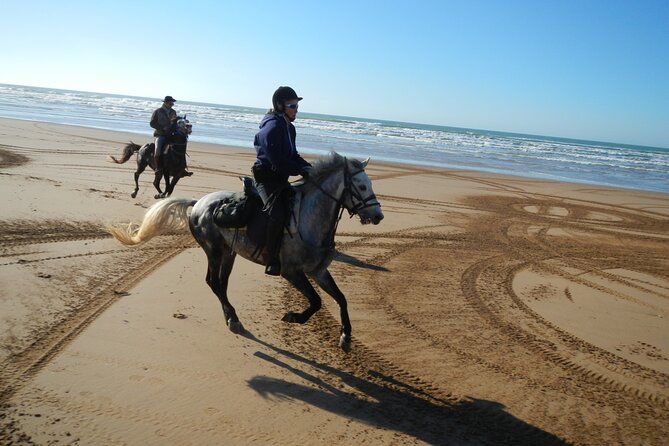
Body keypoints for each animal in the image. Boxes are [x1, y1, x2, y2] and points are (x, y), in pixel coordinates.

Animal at [107, 153, 384, 352]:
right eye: (361, 186)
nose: (378, 216)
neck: (309, 219)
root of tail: (198, 204)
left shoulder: (318, 271)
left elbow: (341, 299)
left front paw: (346, 336)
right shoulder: (292, 272)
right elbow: (316, 301)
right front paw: (293, 317)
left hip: (229, 253)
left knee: (221, 284)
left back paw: (231, 316)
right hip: (213, 250)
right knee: (212, 282)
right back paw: (234, 319)